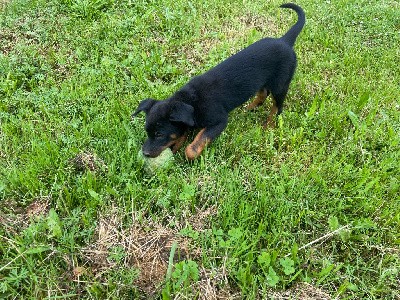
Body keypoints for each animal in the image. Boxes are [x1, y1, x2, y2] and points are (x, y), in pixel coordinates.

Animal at [133, 3, 304, 161]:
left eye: (159, 134)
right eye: (147, 131)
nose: (145, 153)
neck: (190, 102)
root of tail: (285, 41)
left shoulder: (219, 121)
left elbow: (197, 143)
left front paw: (188, 153)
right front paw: (176, 145)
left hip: (281, 83)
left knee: (277, 106)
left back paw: (269, 126)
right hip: (263, 80)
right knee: (264, 92)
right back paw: (251, 107)